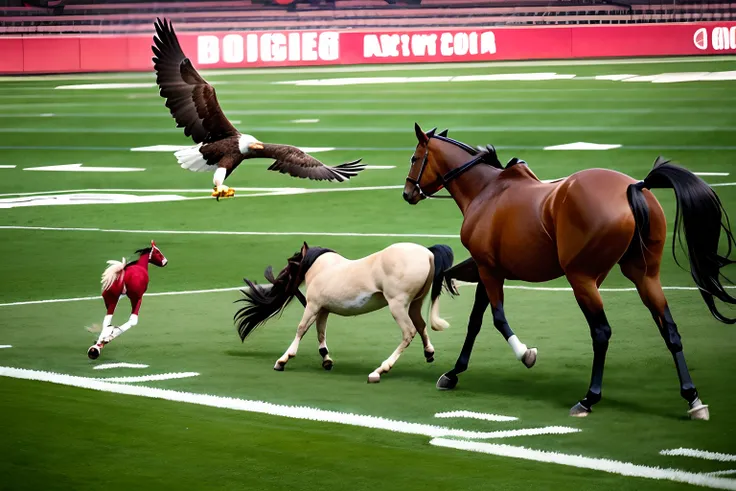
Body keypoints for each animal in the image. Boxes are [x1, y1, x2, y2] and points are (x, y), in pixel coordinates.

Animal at [236, 244, 458, 382]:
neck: (321, 268)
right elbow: (320, 332)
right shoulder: (323, 309)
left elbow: (301, 329)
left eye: (292, 263)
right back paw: (429, 353)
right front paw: (326, 359)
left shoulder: (313, 306)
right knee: (420, 325)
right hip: (415, 303)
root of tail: (428, 254)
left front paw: (283, 360)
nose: (279, 280)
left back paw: (380, 370)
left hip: (397, 305)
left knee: (408, 332)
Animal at [402, 123, 736, 418]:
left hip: (582, 278)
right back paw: (692, 398)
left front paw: (525, 354)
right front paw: (454, 372)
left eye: (415, 158)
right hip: (645, 275)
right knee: (670, 330)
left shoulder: (488, 269)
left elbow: (497, 318)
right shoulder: (488, 268)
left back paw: (589, 398)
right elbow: (473, 319)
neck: (487, 191)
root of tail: (634, 186)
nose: (407, 193)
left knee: (601, 332)